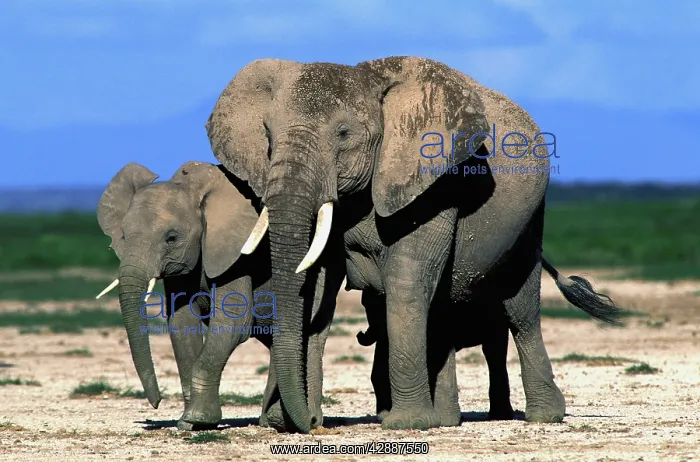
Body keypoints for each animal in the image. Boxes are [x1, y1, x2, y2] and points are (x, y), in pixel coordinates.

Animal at [95, 160, 338, 430]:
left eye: (171, 238)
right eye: (123, 236)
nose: (157, 403)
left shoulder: (235, 256)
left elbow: (233, 321)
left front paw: (197, 418)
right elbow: (181, 322)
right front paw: (187, 422)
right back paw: (270, 421)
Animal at [204, 56, 621, 432]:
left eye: (343, 134)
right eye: (267, 138)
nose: (311, 422)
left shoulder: (434, 181)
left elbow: (407, 279)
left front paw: (407, 424)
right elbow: (317, 284)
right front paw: (289, 421)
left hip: (530, 220)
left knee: (520, 310)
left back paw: (541, 416)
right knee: (441, 311)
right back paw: (448, 420)